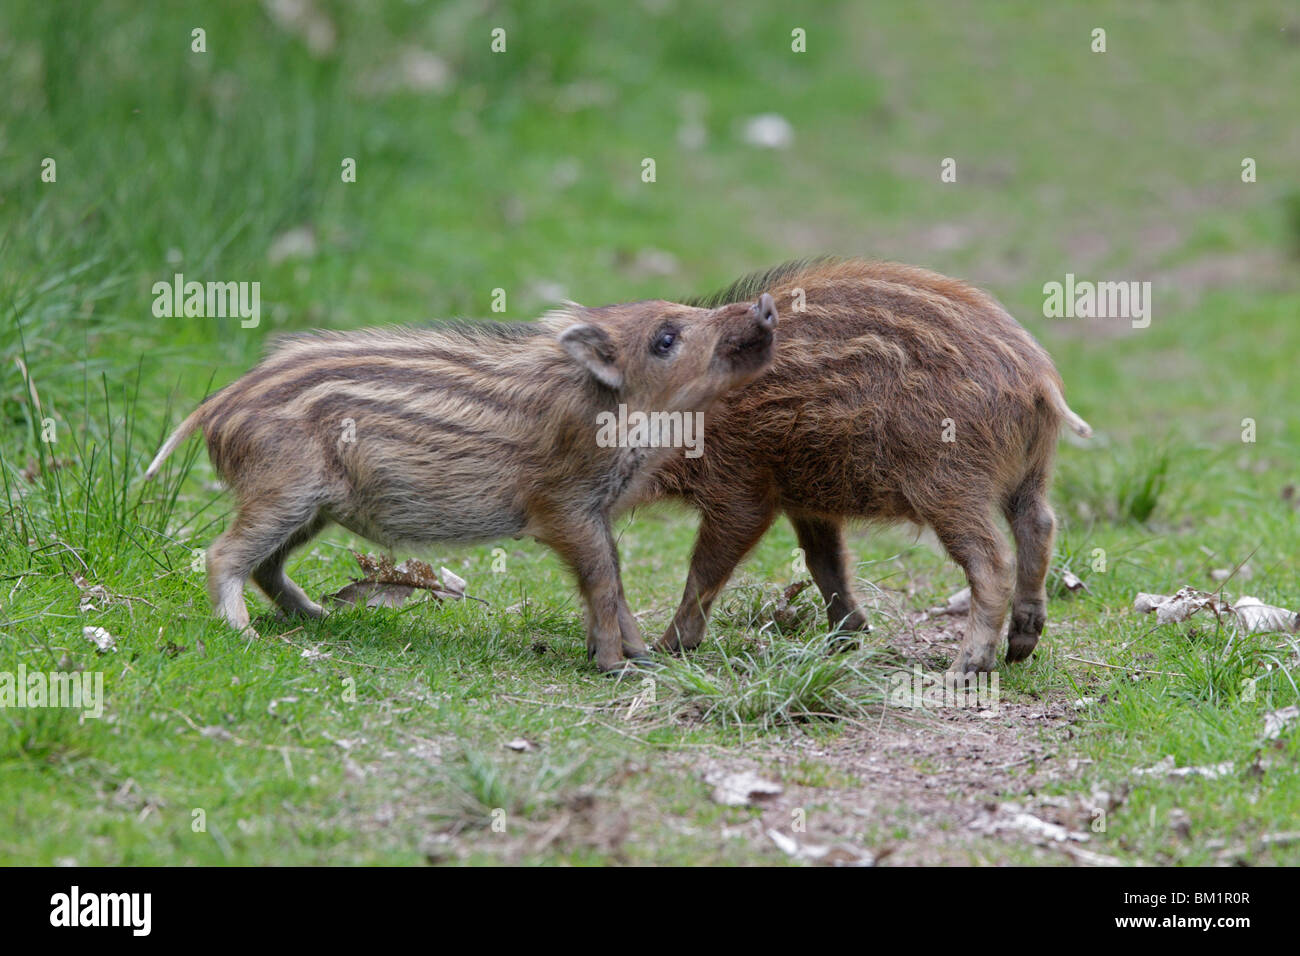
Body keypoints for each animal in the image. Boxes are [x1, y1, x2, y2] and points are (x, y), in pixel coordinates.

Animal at [144, 294, 778, 671]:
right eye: (665, 339)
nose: (768, 306)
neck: (615, 412)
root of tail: (218, 407)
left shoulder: (594, 512)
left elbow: (616, 582)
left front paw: (642, 656)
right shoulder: (564, 509)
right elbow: (601, 580)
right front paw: (615, 664)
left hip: (311, 508)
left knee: (268, 565)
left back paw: (321, 617)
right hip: (284, 491)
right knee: (224, 554)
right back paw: (243, 633)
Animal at [640, 258, 1090, 676]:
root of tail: (1039, 377)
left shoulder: (740, 490)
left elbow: (703, 571)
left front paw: (665, 650)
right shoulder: (804, 499)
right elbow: (825, 562)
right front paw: (844, 643)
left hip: (949, 482)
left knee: (993, 562)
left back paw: (963, 670)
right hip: (1030, 473)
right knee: (1040, 524)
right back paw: (1019, 649)